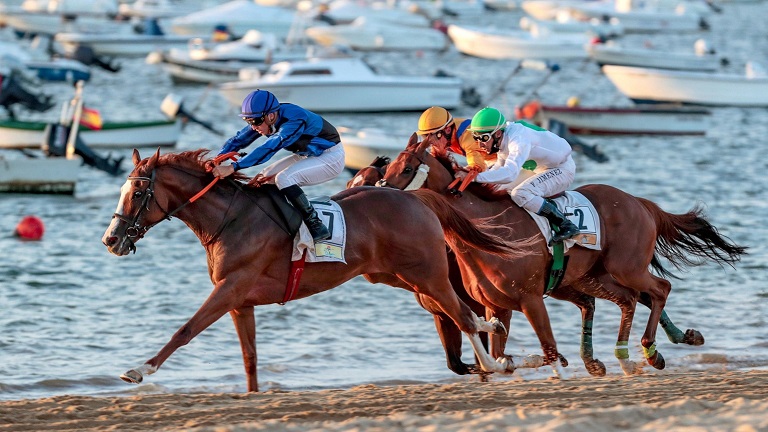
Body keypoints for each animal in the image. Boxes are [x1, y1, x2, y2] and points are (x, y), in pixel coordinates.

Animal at [101, 148, 536, 391]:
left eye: (137, 192)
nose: (110, 239)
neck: (231, 218)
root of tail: (417, 198)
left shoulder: (231, 287)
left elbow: (186, 329)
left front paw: (139, 370)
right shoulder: (241, 301)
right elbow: (250, 357)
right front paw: (254, 393)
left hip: (425, 273)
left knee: (462, 314)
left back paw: (496, 360)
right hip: (396, 275)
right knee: (462, 313)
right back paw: (496, 341)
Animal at [378, 134, 746, 375]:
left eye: (407, 167)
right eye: (389, 165)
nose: (379, 193)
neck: (490, 235)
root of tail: (639, 202)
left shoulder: (530, 300)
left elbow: (548, 350)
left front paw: (556, 366)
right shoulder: (496, 306)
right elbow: (499, 356)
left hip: (624, 266)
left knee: (659, 289)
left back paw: (647, 350)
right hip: (593, 276)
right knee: (630, 299)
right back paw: (640, 351)